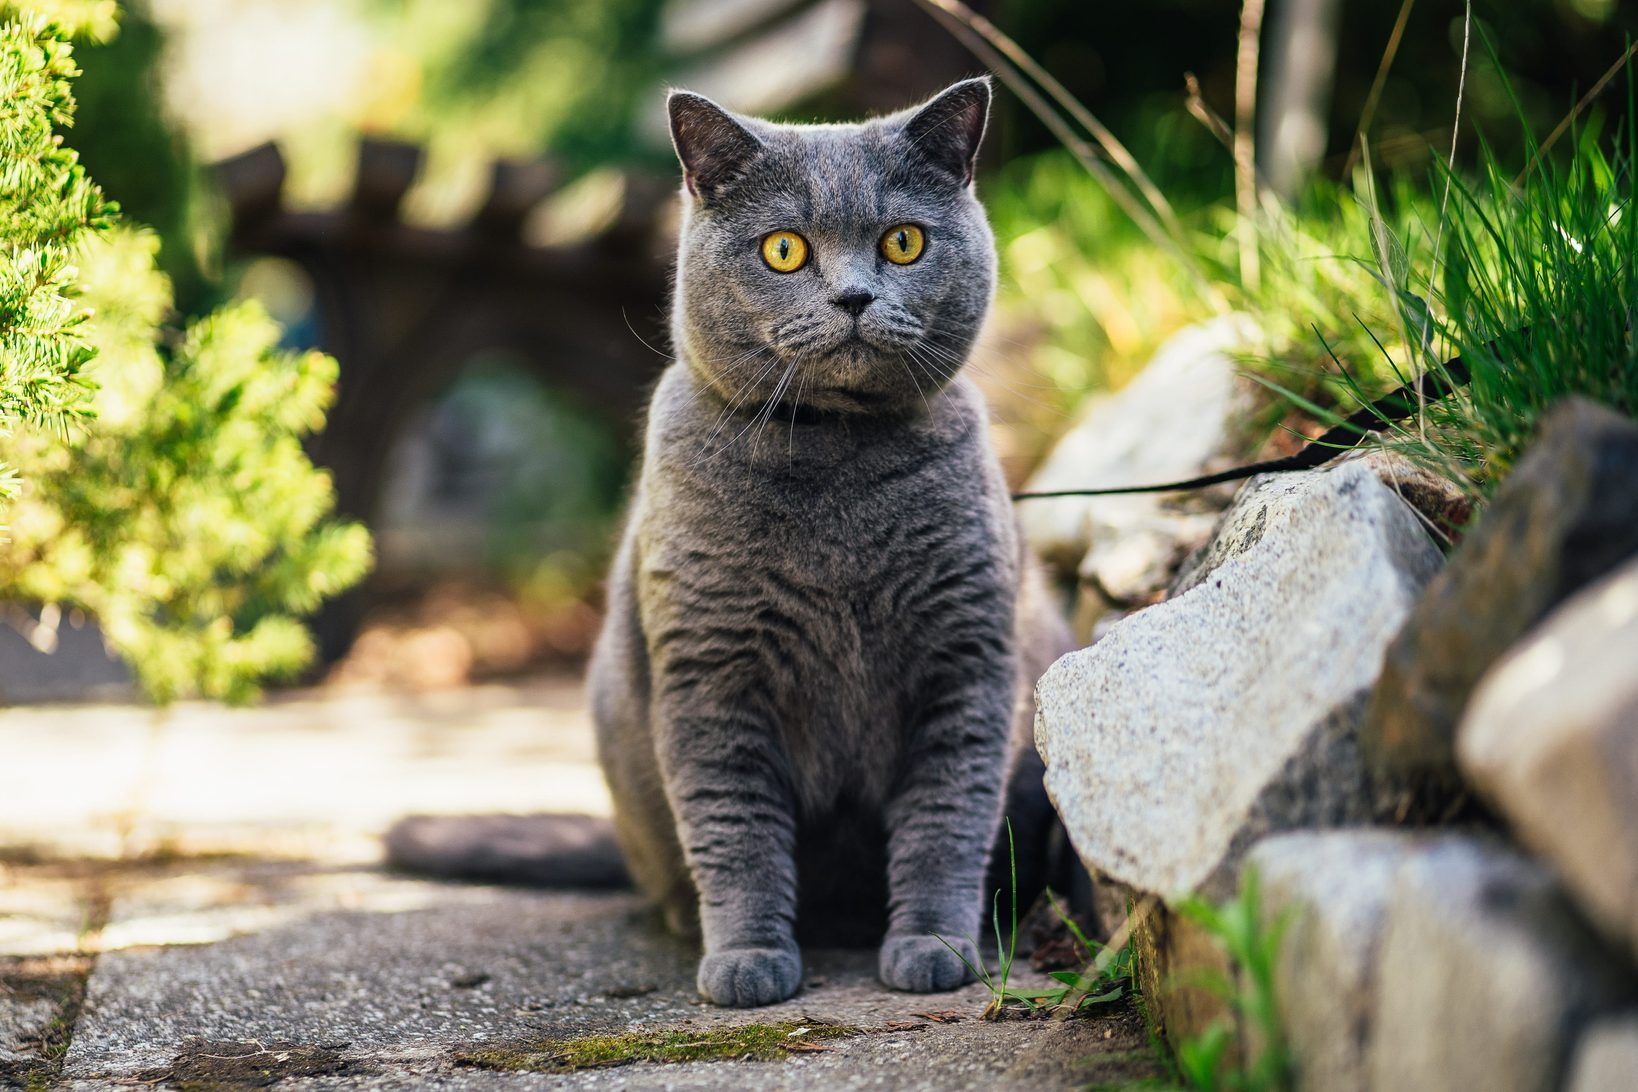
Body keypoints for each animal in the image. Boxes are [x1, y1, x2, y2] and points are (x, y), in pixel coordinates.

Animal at [589, 81, 1074, 1015]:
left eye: (902, 241)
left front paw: (933, 947)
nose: (853, 297)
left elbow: (945, 823)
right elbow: (734, 830)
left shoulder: (967, 662)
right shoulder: (709, 674)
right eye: (784, 249)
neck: (835, 458)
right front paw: (747, 961)